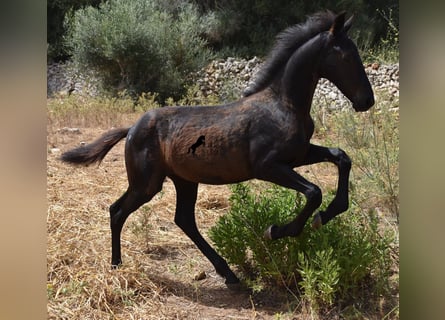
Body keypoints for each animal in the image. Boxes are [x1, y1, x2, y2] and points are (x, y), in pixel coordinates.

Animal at [61, 11, 374, 288]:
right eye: (346, 56)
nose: (367, 101)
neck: (283, 104)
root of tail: (131, 129)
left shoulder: (298, 155)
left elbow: (341, 158)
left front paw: (327, 214)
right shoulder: (268, 166)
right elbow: (313, 191)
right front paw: (277, 231)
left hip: (184, 181)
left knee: (183, 220)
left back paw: (229, 274)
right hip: (146, 183)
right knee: (118, 211)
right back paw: (117, 265)